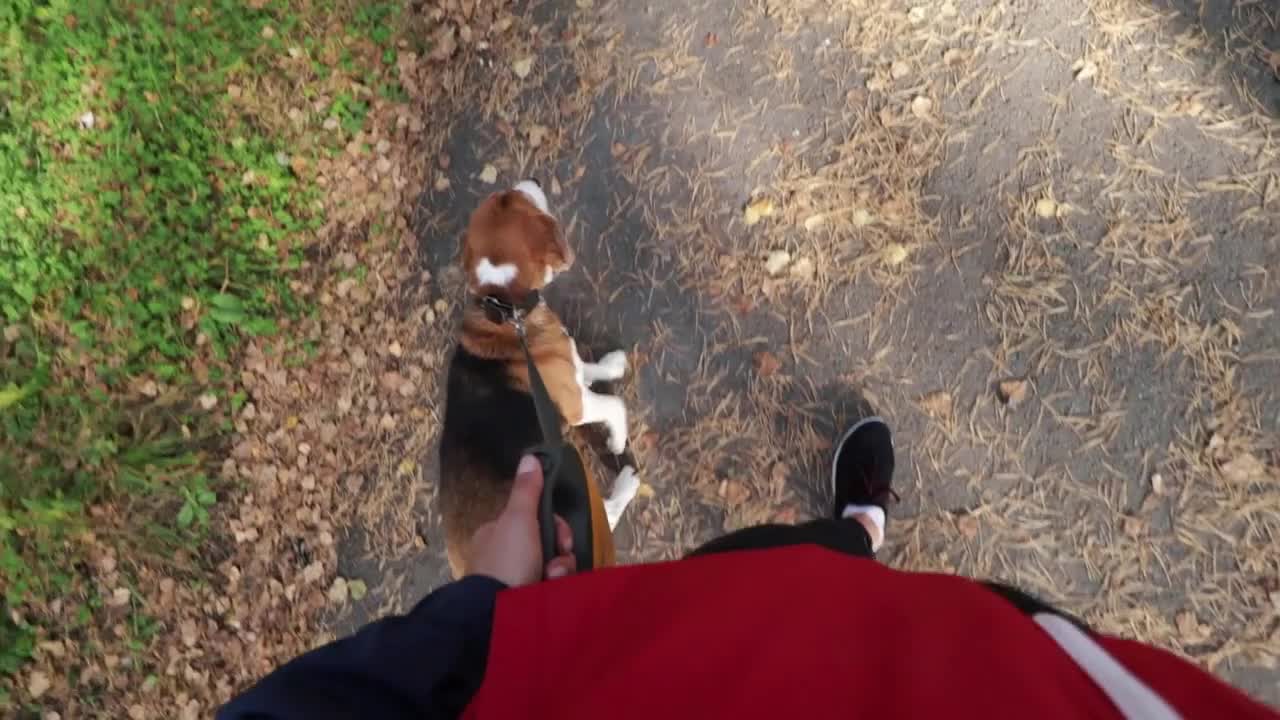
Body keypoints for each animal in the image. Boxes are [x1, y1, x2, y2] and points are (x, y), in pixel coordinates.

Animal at [440, 179, 640, 576]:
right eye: (508, 199)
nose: (526, 182)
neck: (504, 307)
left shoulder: (566, 365)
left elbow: (584, 364)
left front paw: (610, 364)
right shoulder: (576, 404)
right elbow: (615, 405)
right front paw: (616, 441)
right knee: (607, 515)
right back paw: (628, 483)